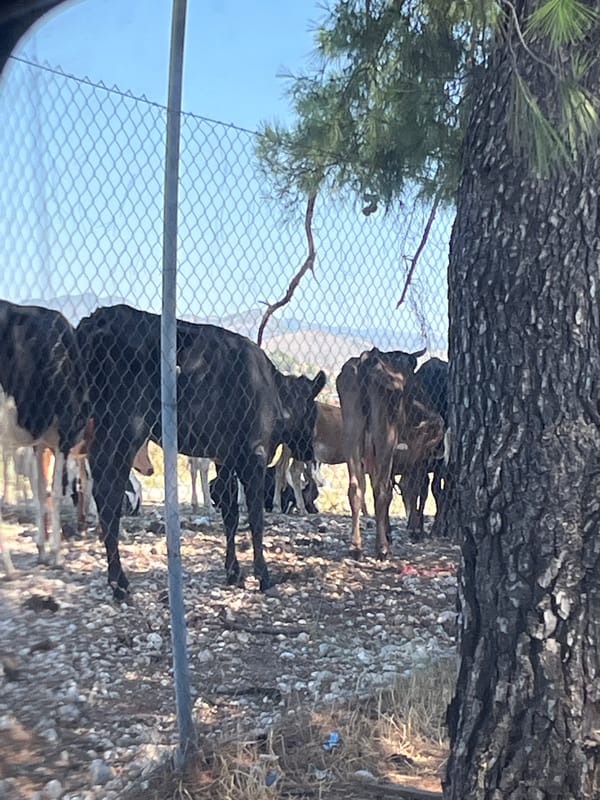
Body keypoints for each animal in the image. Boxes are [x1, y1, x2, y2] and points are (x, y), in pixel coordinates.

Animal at [0, 300, 89, 569]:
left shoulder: (39, 443)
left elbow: (40, 491)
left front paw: (42, 549)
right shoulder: (63, 435)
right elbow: (56, 493)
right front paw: (57, 553)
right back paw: (9, 568)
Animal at [75, 304, 326, 600]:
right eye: (313, 412)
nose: (309, 450)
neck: (274, 392)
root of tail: (98, 317)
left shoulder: (225, 457)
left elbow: (230, 514)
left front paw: (233, 573)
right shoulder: (254, 454)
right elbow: (255, 517)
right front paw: (263, 576)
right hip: (124, 428)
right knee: (108, 494)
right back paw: (120, 583)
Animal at [336, 347, 444, 559]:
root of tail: (369, 358)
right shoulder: (418, 457)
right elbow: (415, 489)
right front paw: (414, 530)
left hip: (352, 432)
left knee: (356, 487)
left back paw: (356, 546)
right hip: (385, 435)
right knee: (382, 489)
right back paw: (382, 548)